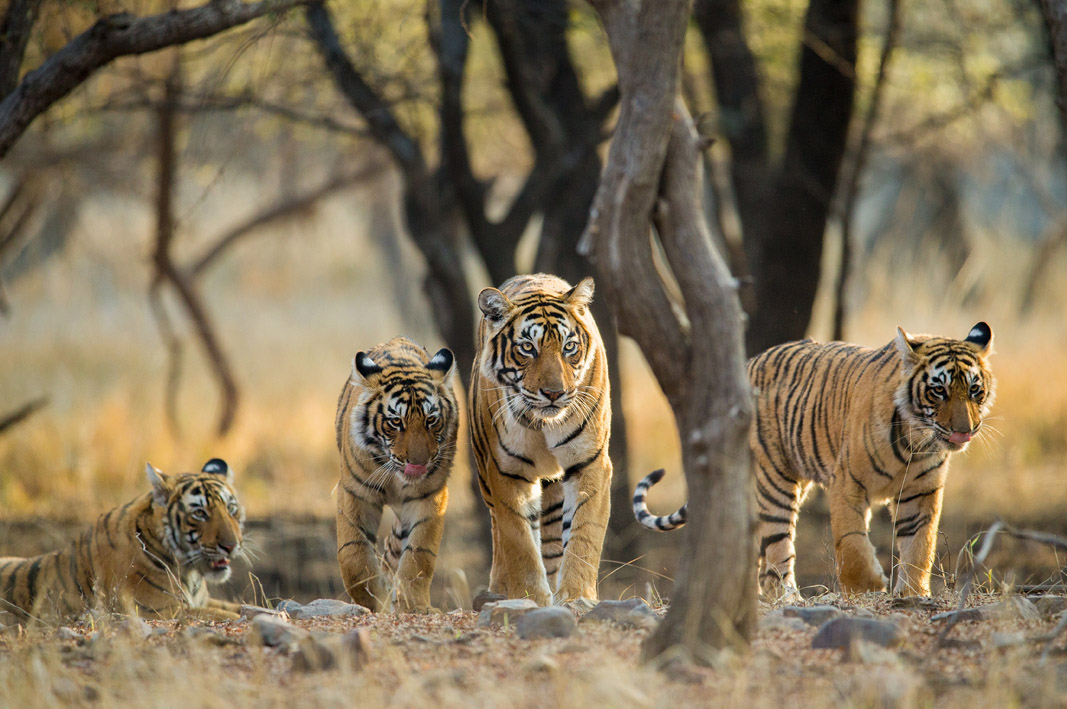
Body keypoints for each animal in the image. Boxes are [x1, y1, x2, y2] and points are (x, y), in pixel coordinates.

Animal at [0, 459, 244, 619]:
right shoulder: (161, 610)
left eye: (231, 509)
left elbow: (243, 608)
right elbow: (226, 615)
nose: (231, 546)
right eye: (200, 513)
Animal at [335, 337, 456, 610]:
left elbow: (419, 553)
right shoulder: (355, 493)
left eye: (431, 420)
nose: (419, 464)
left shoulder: (428, 495)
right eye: (395, 422)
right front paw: (373, 601)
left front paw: (412, 604)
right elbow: (353, 555)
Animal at [471, 273, 614, 606]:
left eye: (569, 347)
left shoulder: (590, 463)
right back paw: (499, 589)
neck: (543, 423)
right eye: (527, 348)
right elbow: (519, 542)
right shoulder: (506, 471)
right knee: (499, 532)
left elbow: (584, 533)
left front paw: (576, 595)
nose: (554, 393)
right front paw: (531, 598)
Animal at [631, 322, 990, 597]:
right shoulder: (847, 484)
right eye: (939, 391)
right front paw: (867, 587)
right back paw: (787, 598)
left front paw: (913, 593)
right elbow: (852, 543)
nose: (965, 431)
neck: (916, 441)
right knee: (777, 547)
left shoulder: (921, 492)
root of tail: (747, 364)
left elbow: (920, 545)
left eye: (975, 390)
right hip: (774, 481)